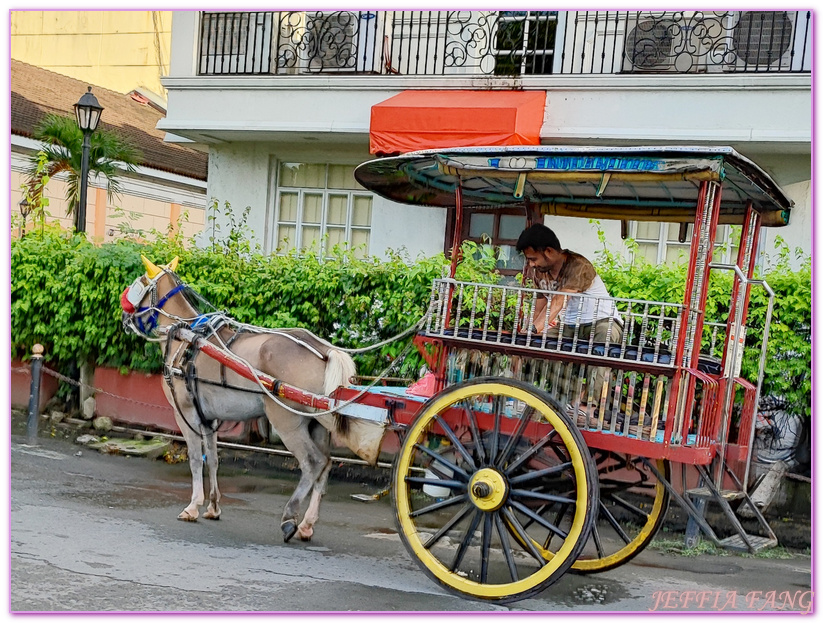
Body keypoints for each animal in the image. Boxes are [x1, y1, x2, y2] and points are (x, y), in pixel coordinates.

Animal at [120, 256, 374, 544]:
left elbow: (195, 459)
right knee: (326, 465)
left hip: (287, 421)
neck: (187, 335)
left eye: (138, 284)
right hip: (317, 424)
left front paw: (193, 506)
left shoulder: (186, 415)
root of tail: (324, 350)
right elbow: (213, 458)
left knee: (313, 463)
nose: (123, 312)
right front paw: (213, 506)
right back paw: (307, 525)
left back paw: (290, 518)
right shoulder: (209, 419)